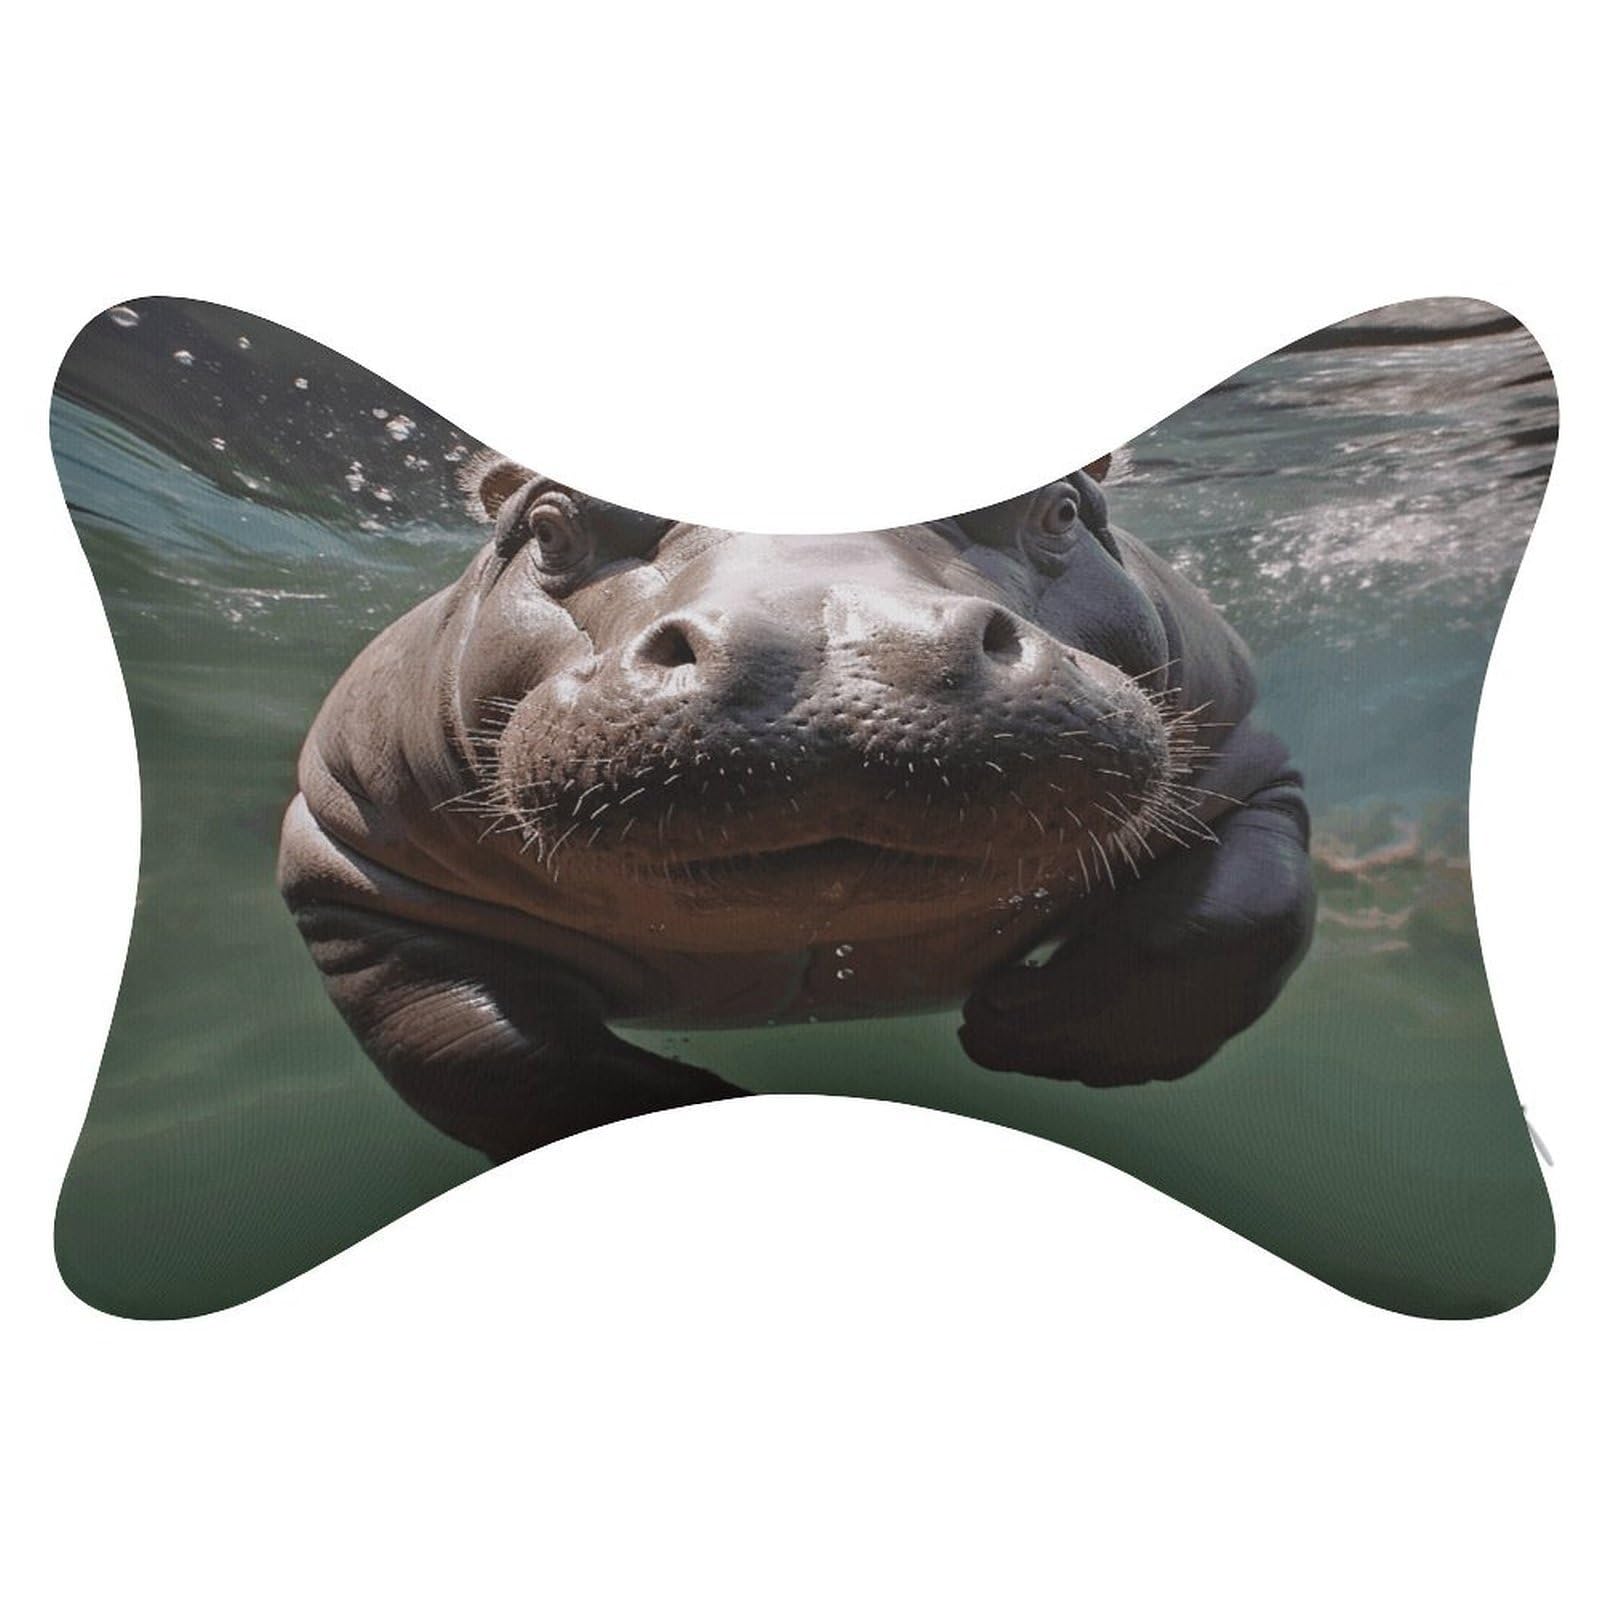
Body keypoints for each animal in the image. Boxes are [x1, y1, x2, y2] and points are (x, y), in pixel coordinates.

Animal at [279, 455, 1315, 1163]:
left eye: (1060, 506)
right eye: (551, 522)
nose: (829, 639)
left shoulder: (1248, 772)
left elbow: (1232, 923)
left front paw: (1021, 1027)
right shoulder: (347, 859)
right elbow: (465, 1044)